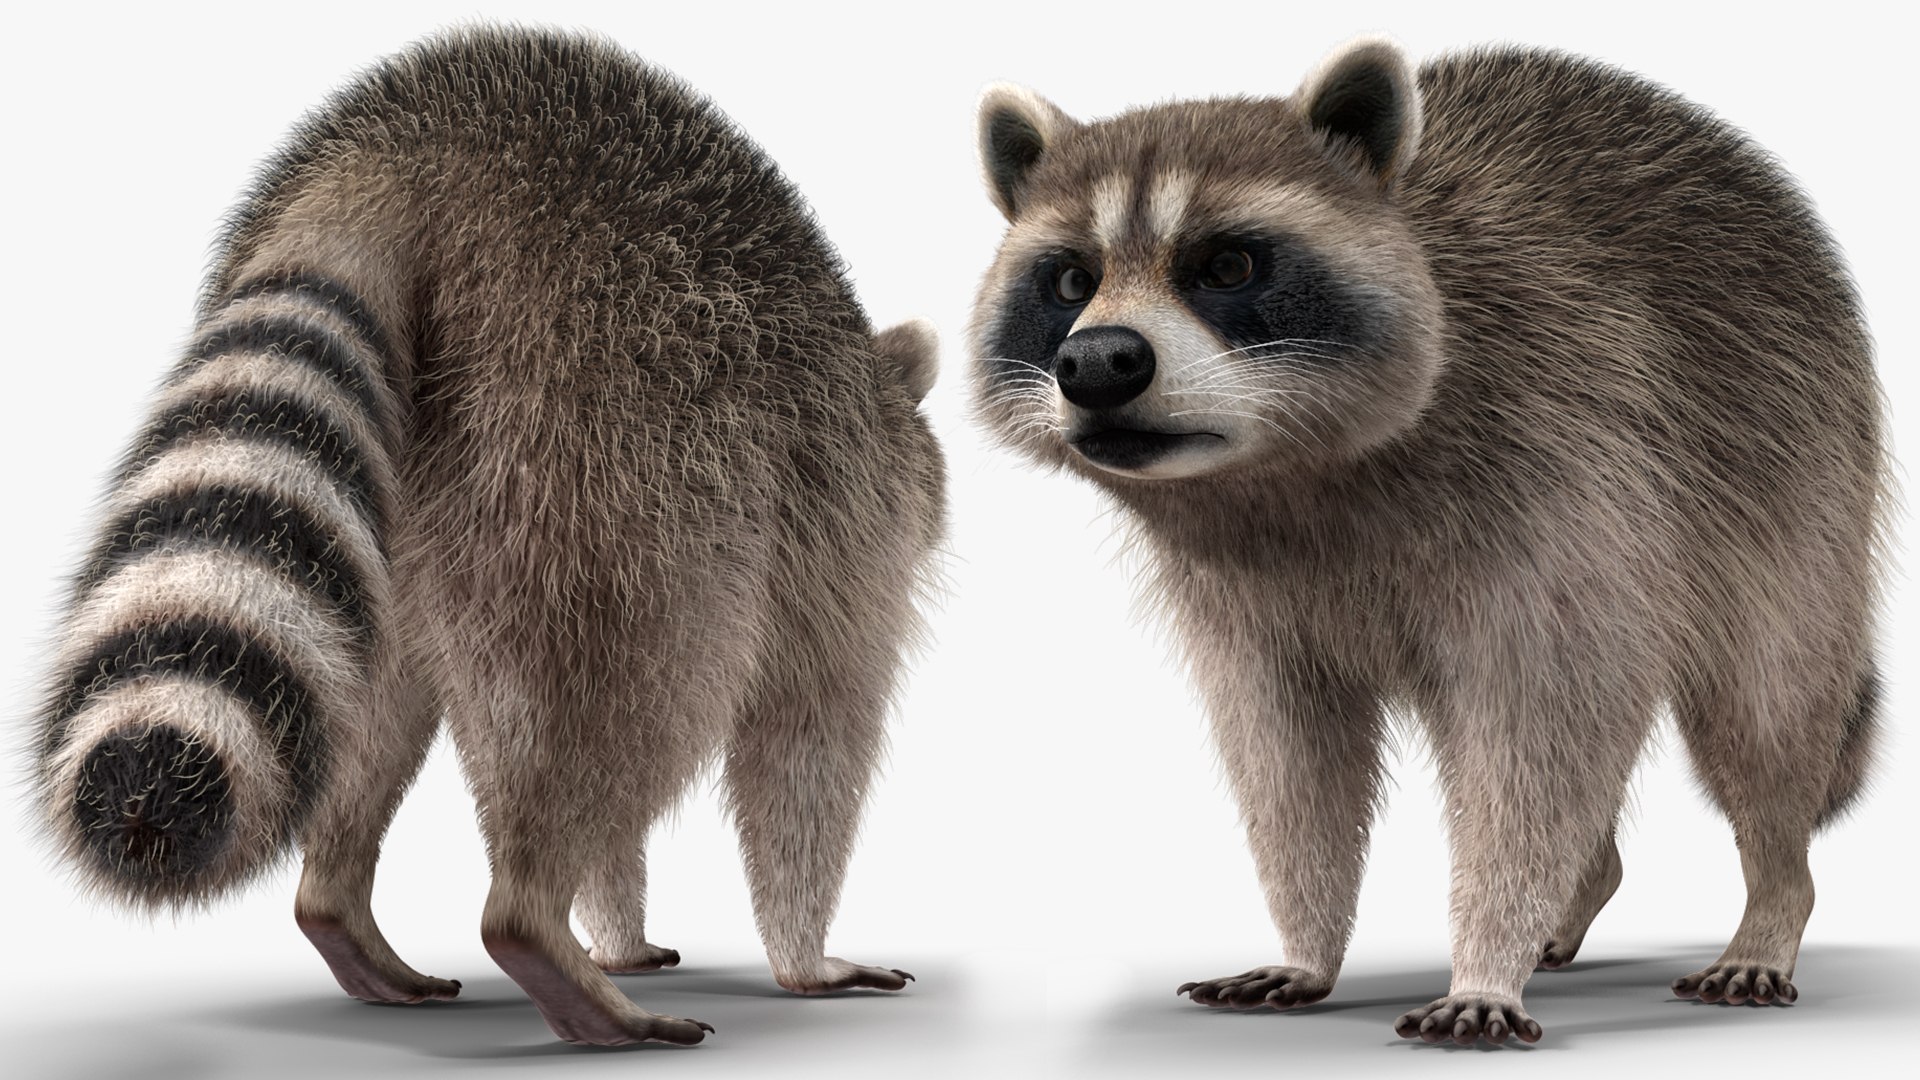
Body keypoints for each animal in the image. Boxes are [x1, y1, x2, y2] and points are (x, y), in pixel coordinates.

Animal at [31, 27, 945, 1047]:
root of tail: (409, 161)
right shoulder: (839, 528)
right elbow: (806, 738)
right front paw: (801, 953)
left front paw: (620, 932)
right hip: (609, 445)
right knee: (644, 688)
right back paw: (537, 928)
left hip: (397, 492)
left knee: (365, 708)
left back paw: (341, 904)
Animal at [969, 37, 1886, 1045]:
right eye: (1069, 281)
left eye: (1228, 265)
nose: (1098, 360)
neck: (1279, 481)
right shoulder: (1246, 598)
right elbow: (1289, 759)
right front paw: (1308, 941)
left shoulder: (1564, 468)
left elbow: (1531, 741)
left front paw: (1487, 960)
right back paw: (1584, 888)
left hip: (1786, 468)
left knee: (1762, 709)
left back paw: (1772, 902)